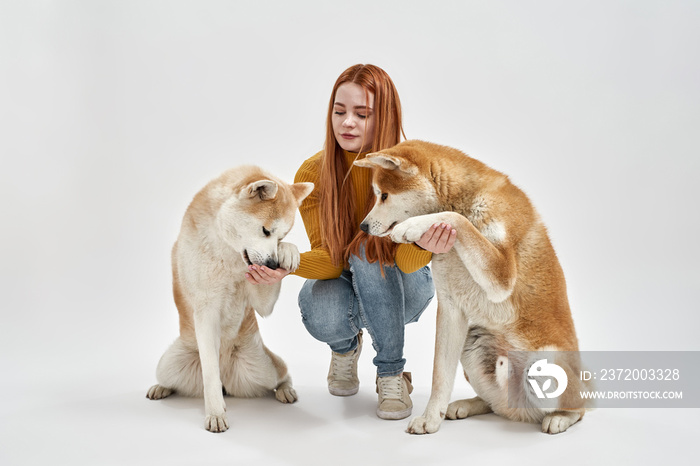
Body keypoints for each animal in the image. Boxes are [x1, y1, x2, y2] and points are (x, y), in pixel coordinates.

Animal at [146, 165, 314, 434]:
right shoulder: (205, 311)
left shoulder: (261, 301)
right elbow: (210, 375)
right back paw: (160, 388)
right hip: (169, 364)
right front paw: (216, 413)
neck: (228, 253)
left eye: (280, 237)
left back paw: (286, 390)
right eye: (266, 230)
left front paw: (290, 251)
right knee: (180, 378)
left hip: (262, 367)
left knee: (282, 372)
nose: (272, 265)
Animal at [356, 141, 584, 434]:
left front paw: (412, 227)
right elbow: (440, 374)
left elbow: (456, 218)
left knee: (580, 407)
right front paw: (431, 418)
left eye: (383, 195)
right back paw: (467, 405)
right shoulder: (451, 306)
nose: (362, 226)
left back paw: (560, 417)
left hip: (545, 361)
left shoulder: (502, 277)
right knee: (497, 405)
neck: (469, 198)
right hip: (473, 343)